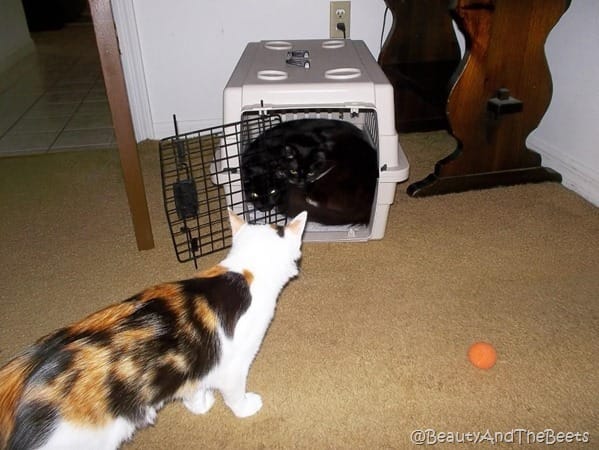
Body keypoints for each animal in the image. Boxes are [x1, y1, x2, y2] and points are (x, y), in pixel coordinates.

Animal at [0, 211, 308, 450]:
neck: (241, 274)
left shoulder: (192, 364)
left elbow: (192, 389)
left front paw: (200, 405)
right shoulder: (232, 365)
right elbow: (233, 395)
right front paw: (245, 407)